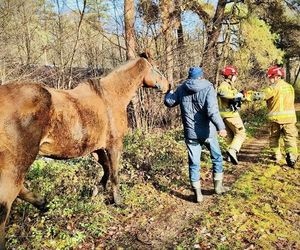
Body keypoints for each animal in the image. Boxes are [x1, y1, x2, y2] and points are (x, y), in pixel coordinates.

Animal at [0, 51, 169, 248]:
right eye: (156, 68)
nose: (168, 86)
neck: (110, 97)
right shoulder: (114, 145)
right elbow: (114, 173)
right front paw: (118, 201)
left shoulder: (97, 149)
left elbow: (106, 169)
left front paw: (96, 191)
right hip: (18, 161)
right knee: (5, 203)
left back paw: (44, 203)